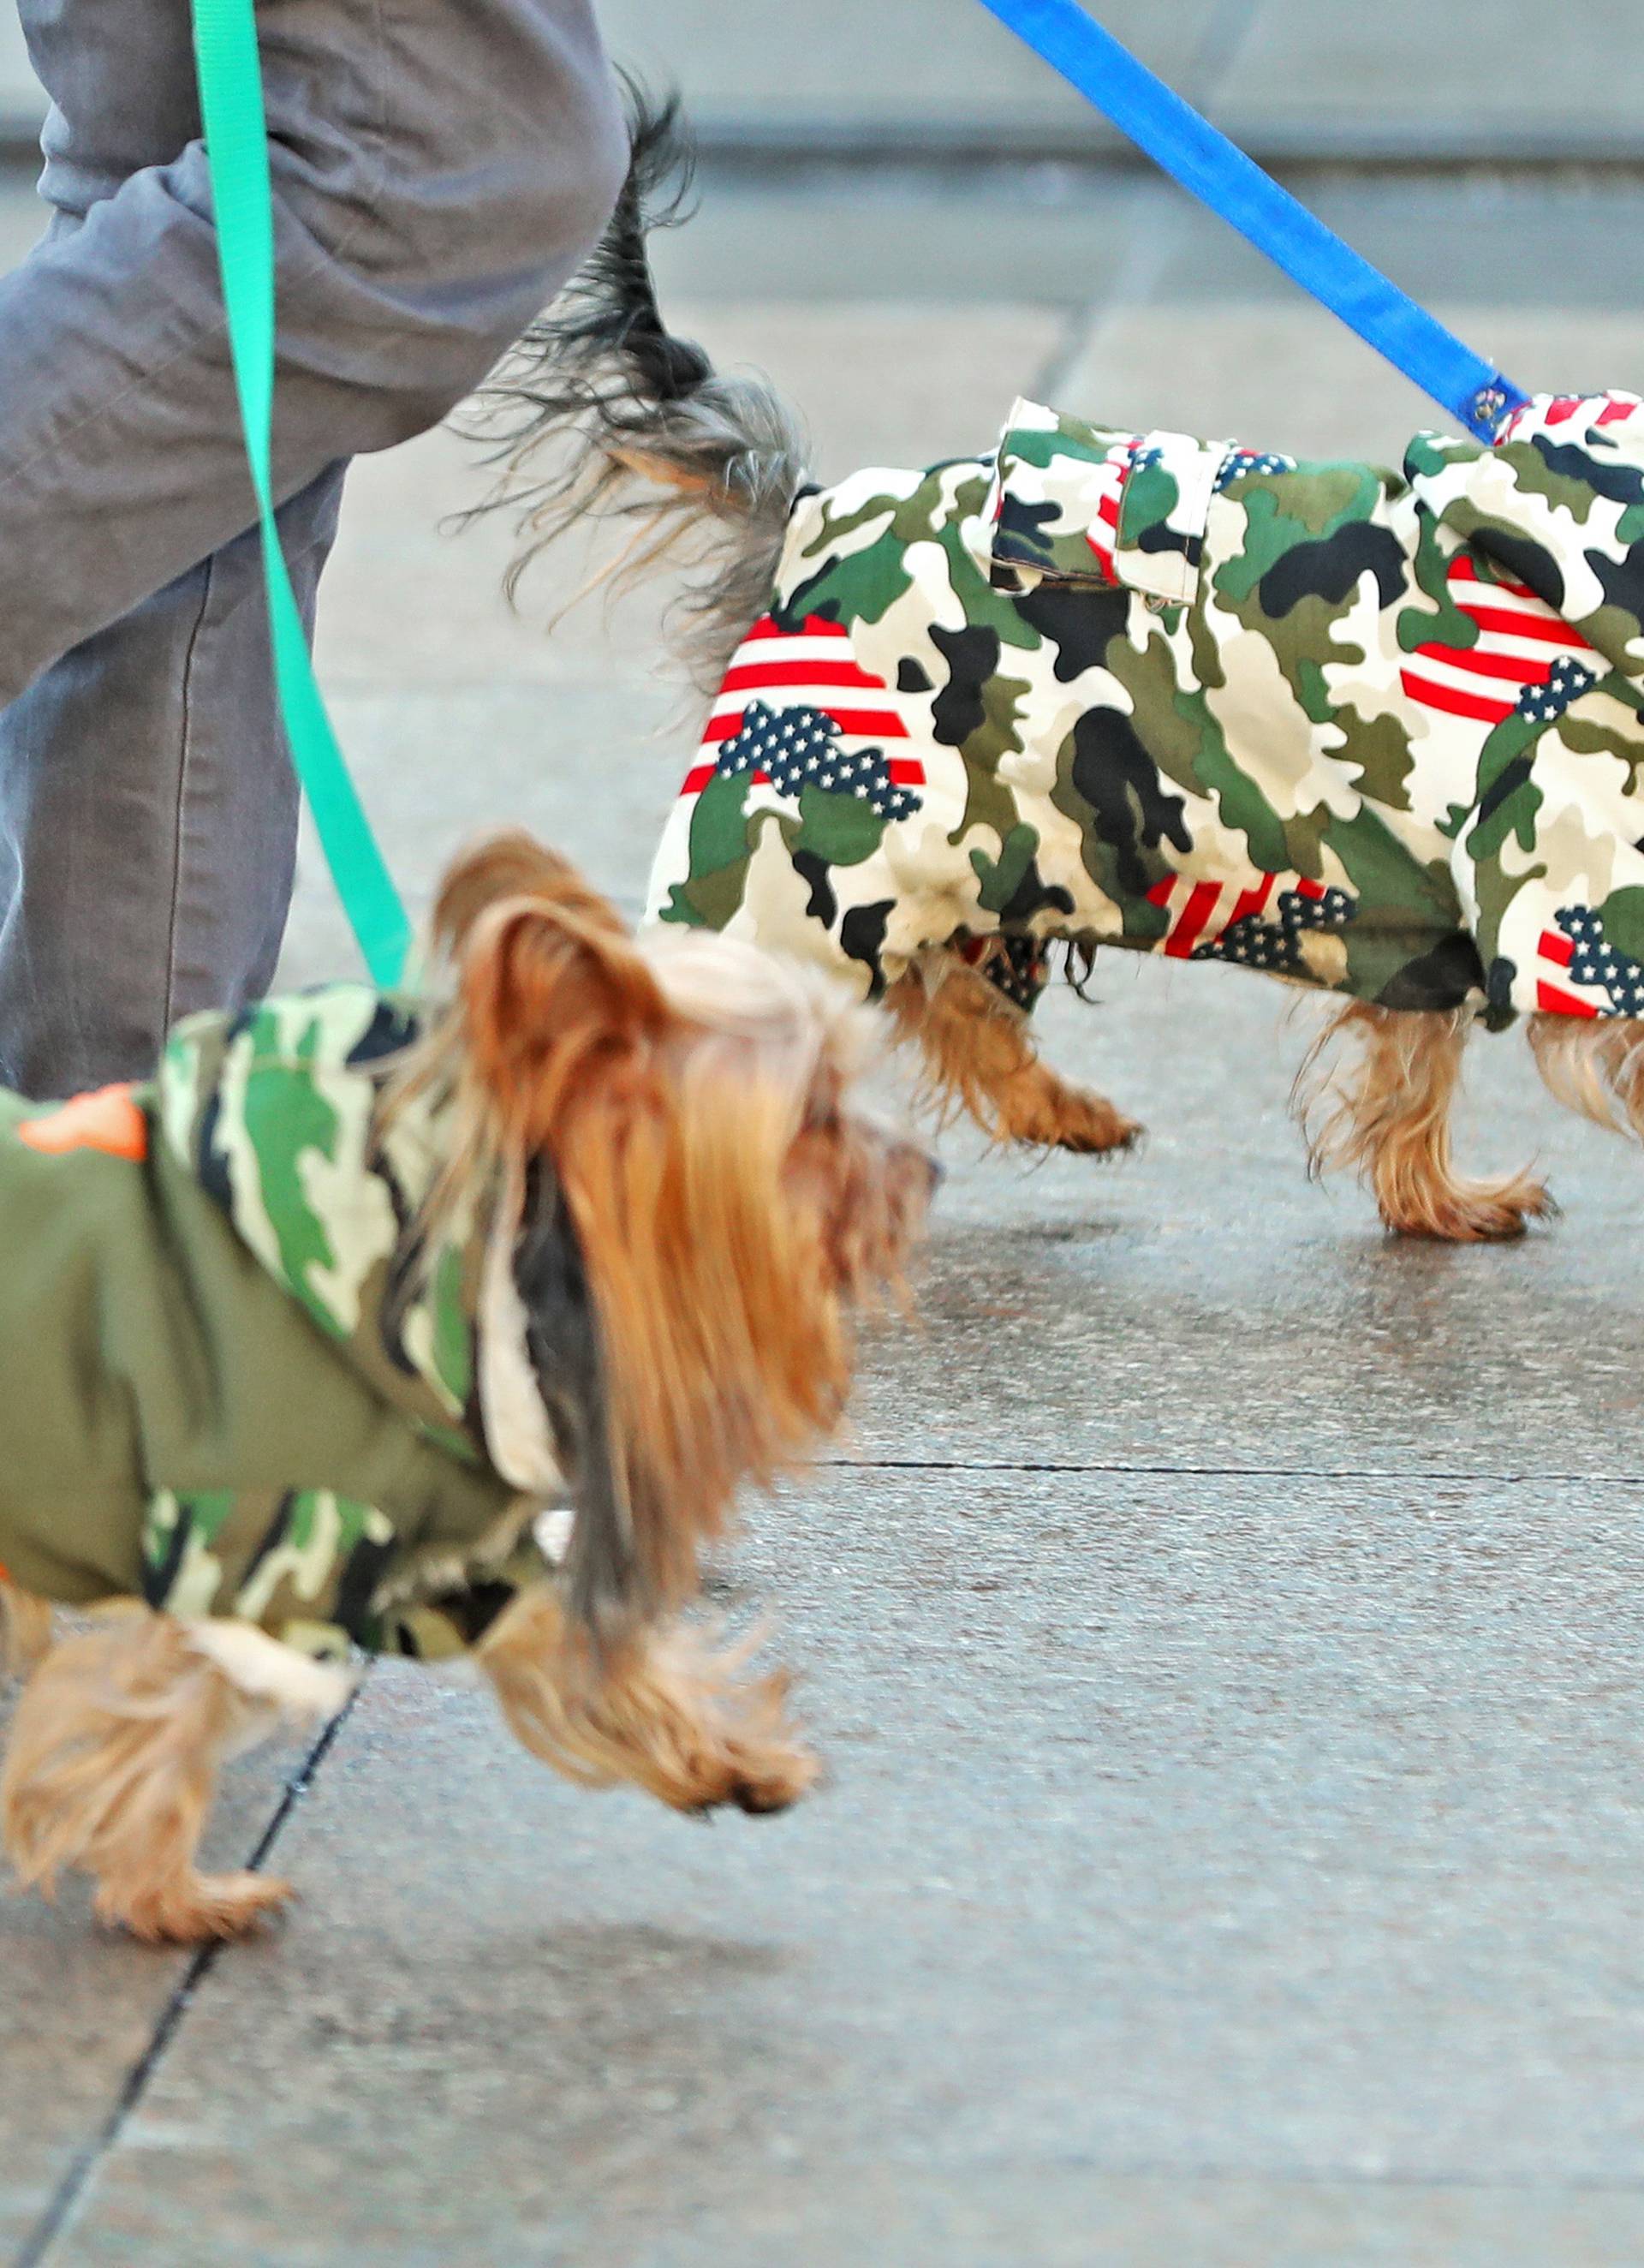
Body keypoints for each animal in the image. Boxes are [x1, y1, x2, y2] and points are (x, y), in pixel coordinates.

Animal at [0, 844, 929, 1941]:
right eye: (815, 1114)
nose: (926, 1172)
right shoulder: (251, 1546)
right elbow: (169, 1715)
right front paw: (170, 1892)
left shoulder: (440, 1551)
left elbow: (553, 1638)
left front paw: (718, 1755)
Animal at [485, 93, 1644, 1243]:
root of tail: (804, 512)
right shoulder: (1566, 892)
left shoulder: (1436, 914)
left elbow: (1413, 1056)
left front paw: (1435, 1200)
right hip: (803, 841)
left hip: (976, 857)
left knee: (941, 994)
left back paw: (1057, 1109)